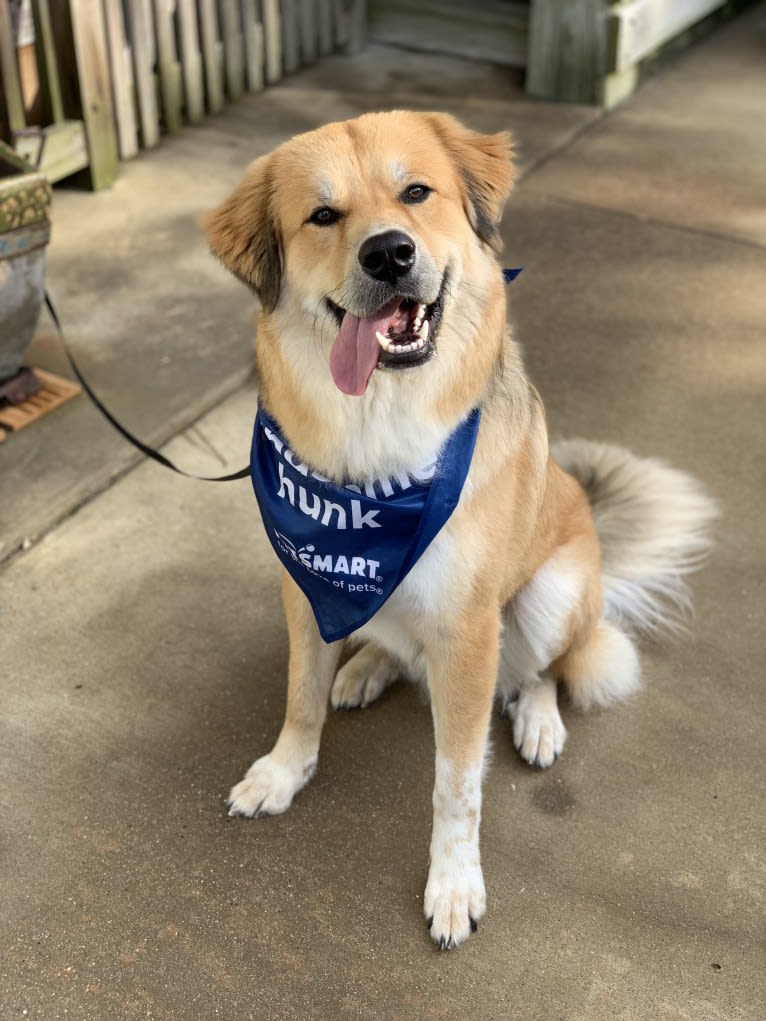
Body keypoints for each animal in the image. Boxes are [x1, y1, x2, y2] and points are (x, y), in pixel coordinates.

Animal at [205, 111, 719, 947]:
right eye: (323, 215)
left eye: (417, 193)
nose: (389, 253)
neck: (378, 434)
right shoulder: (307, 588)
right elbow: (300, 695)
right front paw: (286, 770)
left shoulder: (471, 628)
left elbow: (458, 781)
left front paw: (452, 882)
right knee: (392, 647)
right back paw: (366, 667)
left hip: (554, 589)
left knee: (545, 667)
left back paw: (538, 719)